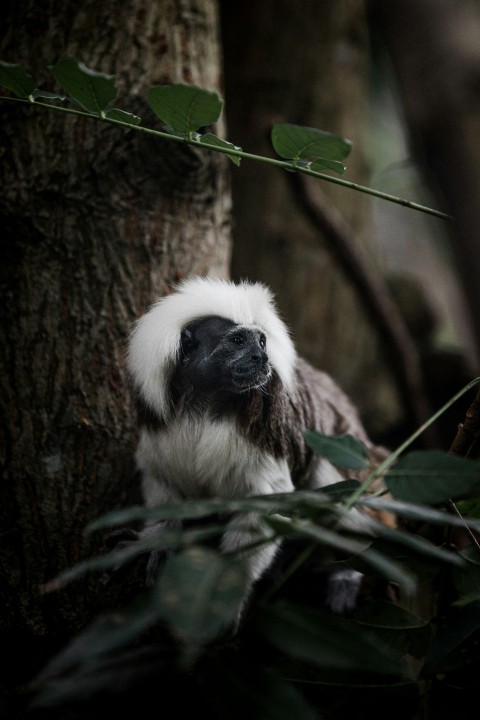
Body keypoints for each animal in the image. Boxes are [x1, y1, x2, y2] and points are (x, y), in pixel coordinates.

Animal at [126, 276, 389, 617]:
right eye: (238, 341)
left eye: (262, 343)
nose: (261, 359)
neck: (205, 404)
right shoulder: (159, 425)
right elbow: (162, 482)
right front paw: (159, 540)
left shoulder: (265, 433)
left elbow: (265, 506)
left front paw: (228, 589)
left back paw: (347, 572)